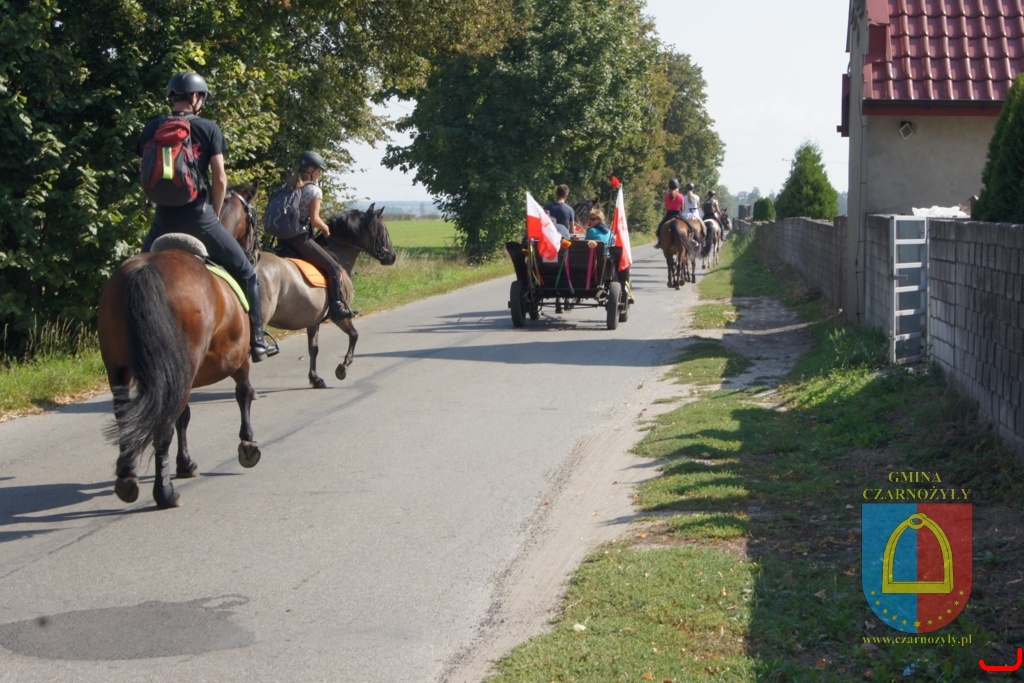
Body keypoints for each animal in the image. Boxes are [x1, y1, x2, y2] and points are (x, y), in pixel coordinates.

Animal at [97, 183, 263, 509]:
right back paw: (164, 492)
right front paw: (248, 444)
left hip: (121, 370)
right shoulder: (239, 360)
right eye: (253, 219)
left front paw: (185, 463)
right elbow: (244, 394)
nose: (256, 253)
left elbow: (183, 416)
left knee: (127, 414)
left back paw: (127, 475)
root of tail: (145, 271)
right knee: (163, 423)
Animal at [252, 202, 397, 388]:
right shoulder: (340, 316)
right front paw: (342, 368)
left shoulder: (313, 319)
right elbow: (354, 335)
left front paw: (315, 378)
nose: (392, 256)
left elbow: (313, 348)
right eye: (381, 230)